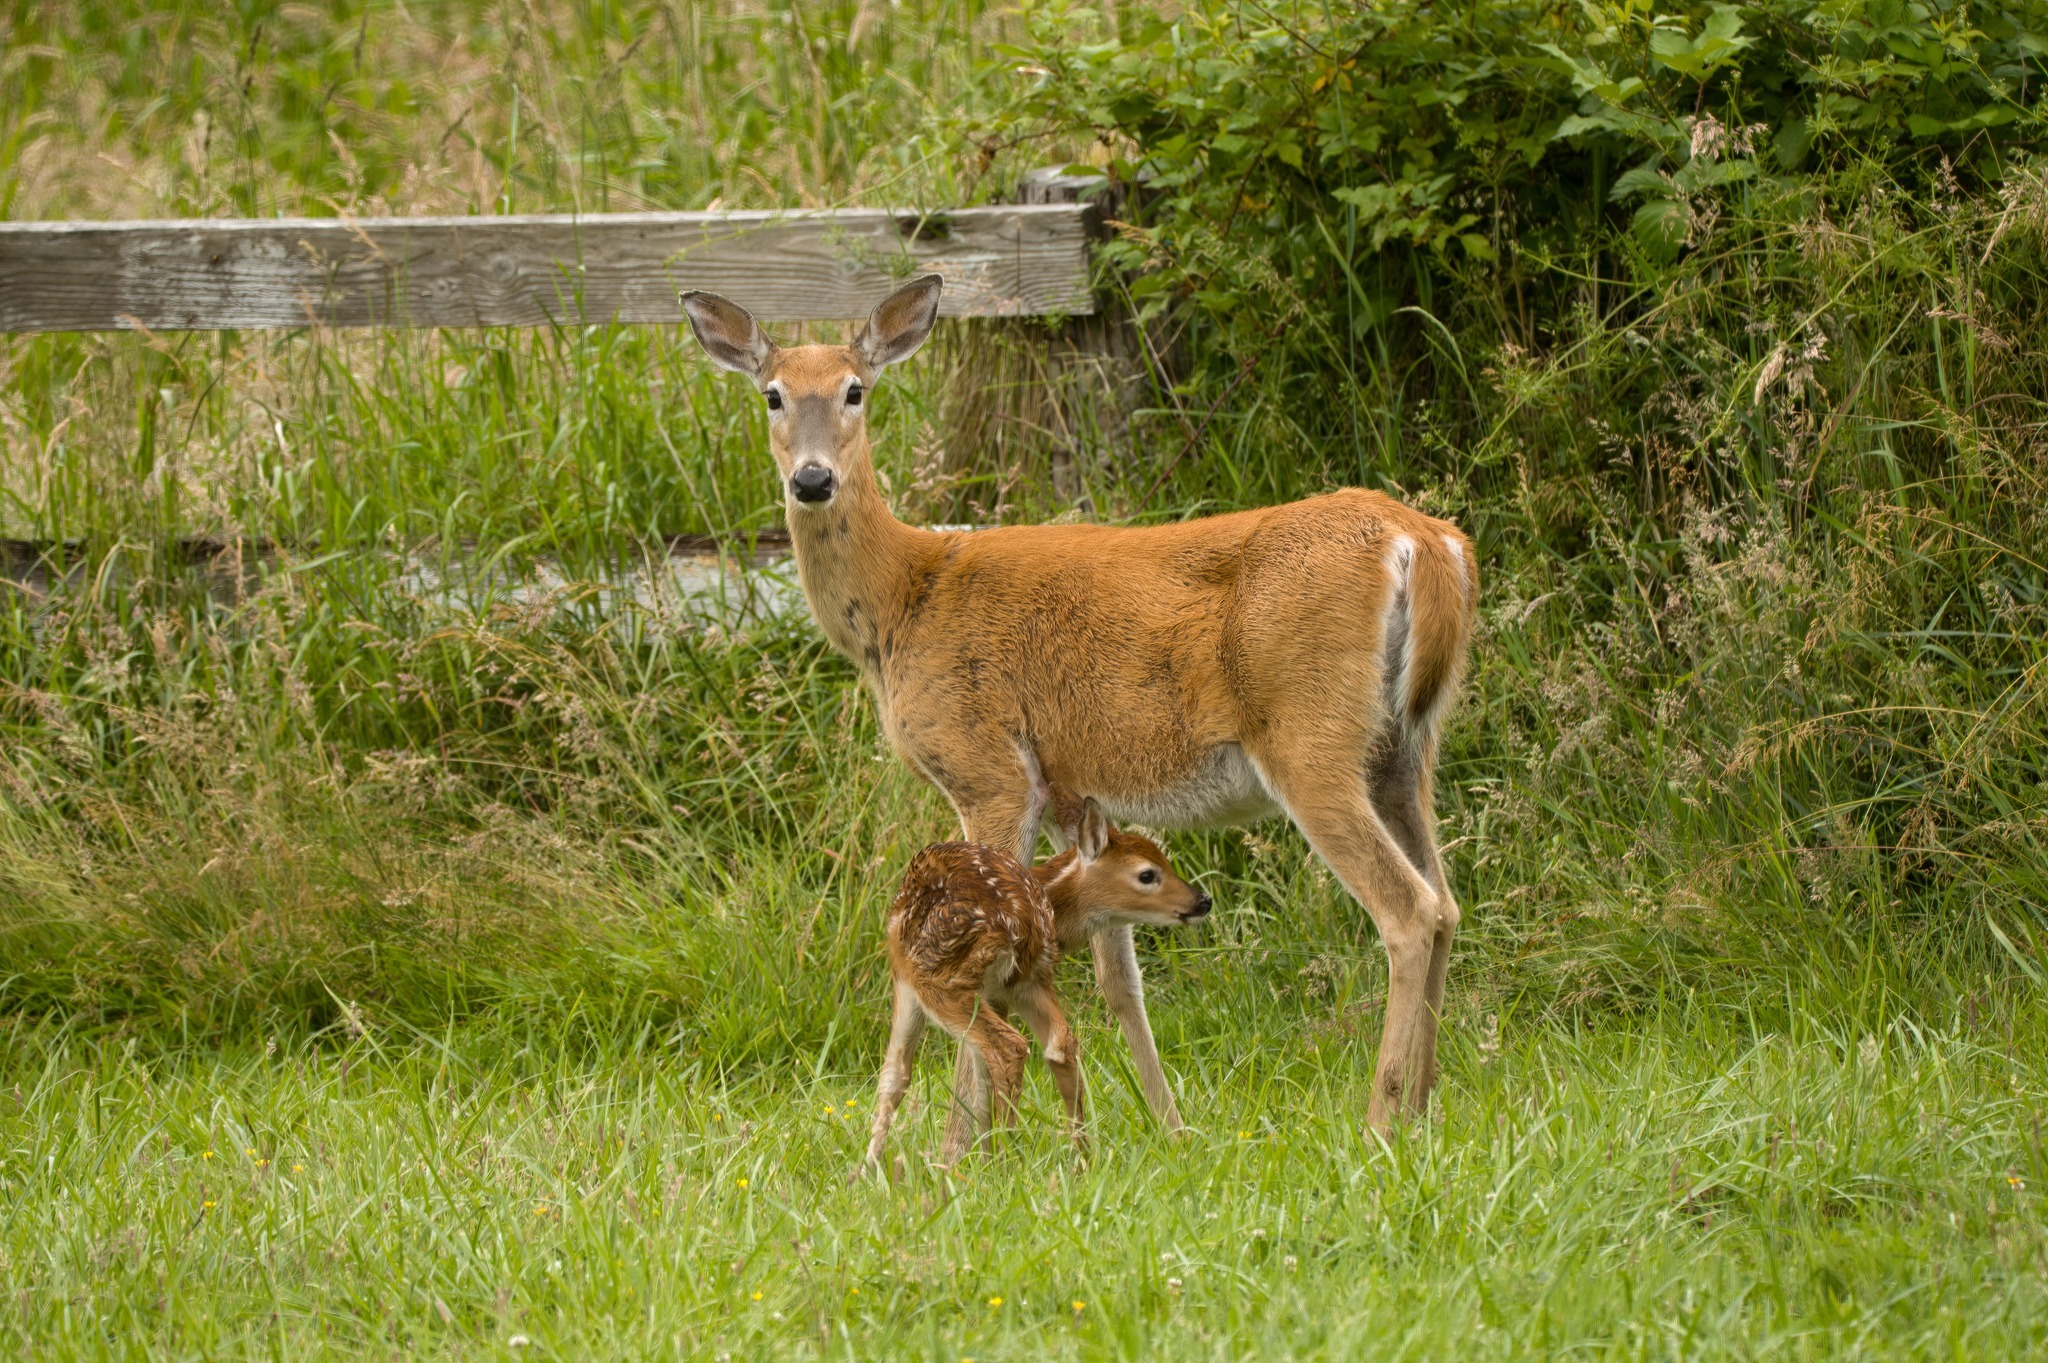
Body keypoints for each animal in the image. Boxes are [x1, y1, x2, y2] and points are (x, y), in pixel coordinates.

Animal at [861, 795, 1210, 1172]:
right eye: (1148, 873)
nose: (1202, 900)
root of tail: (1015, 920)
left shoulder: (906, 977)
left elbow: (896, 1075)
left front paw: (867, 1171)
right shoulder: (1006, 989)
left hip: (940, 980)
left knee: (1007, 1046)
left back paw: (1004, 1161)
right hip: (1024, 981)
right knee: (1059, 1044)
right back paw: (1078, 1157)